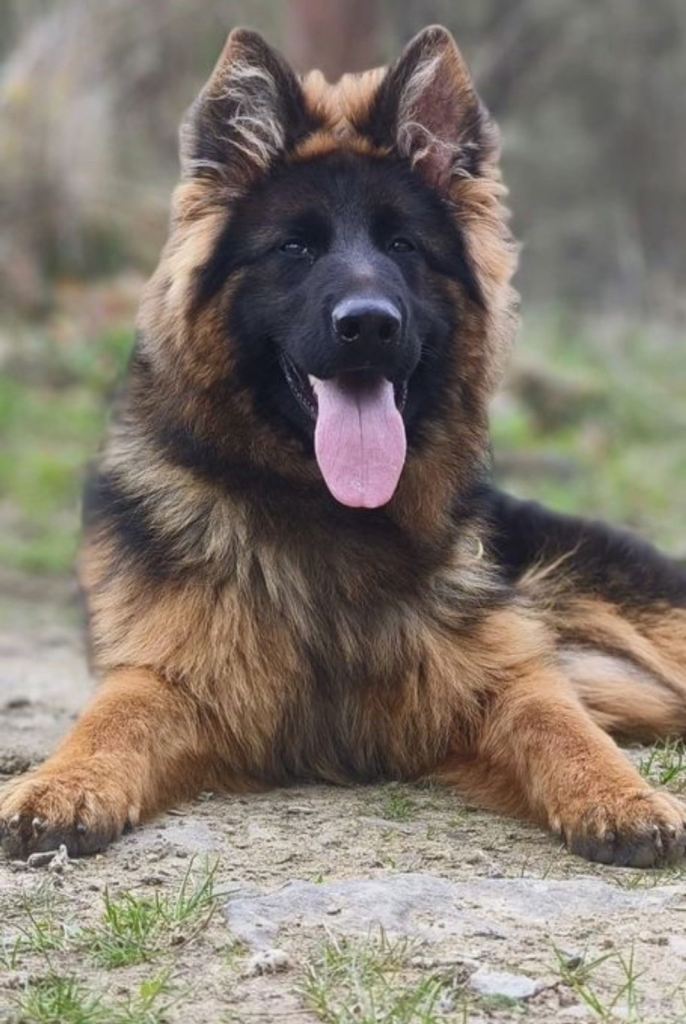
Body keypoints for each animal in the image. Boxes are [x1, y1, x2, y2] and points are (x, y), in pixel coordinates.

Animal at [2, 25, 685, 868]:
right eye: (295, 248)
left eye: (403, 245)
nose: (369, 325)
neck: (330, 519)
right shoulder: (173, 671)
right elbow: (113, 713)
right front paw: (59, 782)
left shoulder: (503, 675)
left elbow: (557, 718)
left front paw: (624, 794)